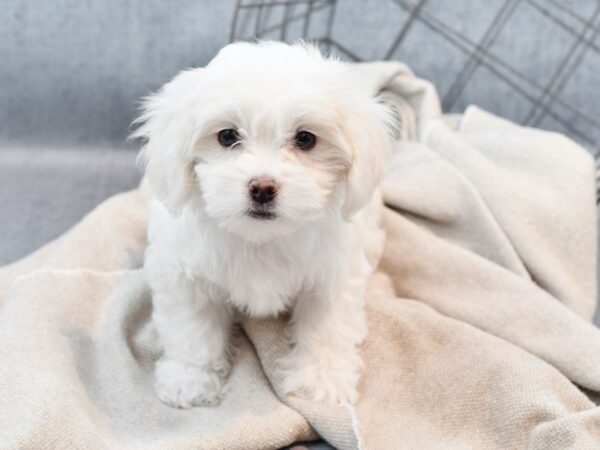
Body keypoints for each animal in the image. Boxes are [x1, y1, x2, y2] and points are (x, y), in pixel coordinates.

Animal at [133, 41, 394, 408]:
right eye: (228, 136)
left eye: (305, 139)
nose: (262, 188)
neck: (262, 238)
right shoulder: (184, 273)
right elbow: (192, 327)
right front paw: (189, 379)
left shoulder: (333, 274)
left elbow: (326, 327)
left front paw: (321, 379)